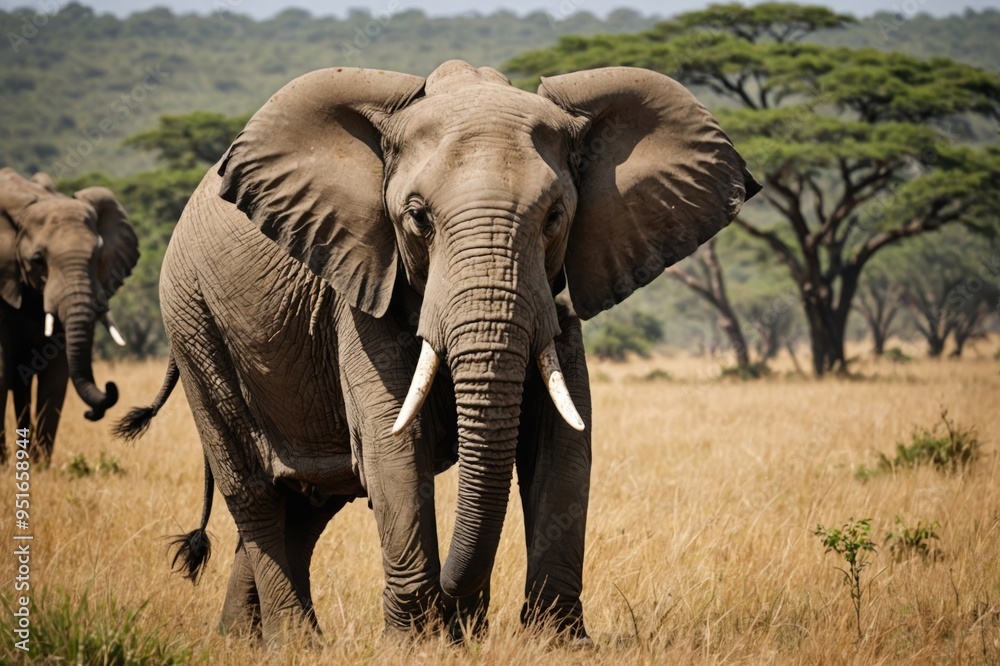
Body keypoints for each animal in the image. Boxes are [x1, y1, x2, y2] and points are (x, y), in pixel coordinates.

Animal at [0, 169, 138, 464]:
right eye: (38, 260)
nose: (110, 386)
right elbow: (0, 370)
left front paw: (40, 467)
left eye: (97, 255)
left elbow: (55, 376)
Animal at [116, 60, 760, 645]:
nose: (464, 613)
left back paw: (244, 642)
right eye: (418, 218)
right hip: (193, 321)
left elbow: (562, 444)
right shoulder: (361, 280)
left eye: (555, 217)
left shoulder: (556, 295)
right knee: (256, 493)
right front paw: (416, 643)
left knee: (309, 502)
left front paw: (554, 644)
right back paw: (297, 643)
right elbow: (393, 444)